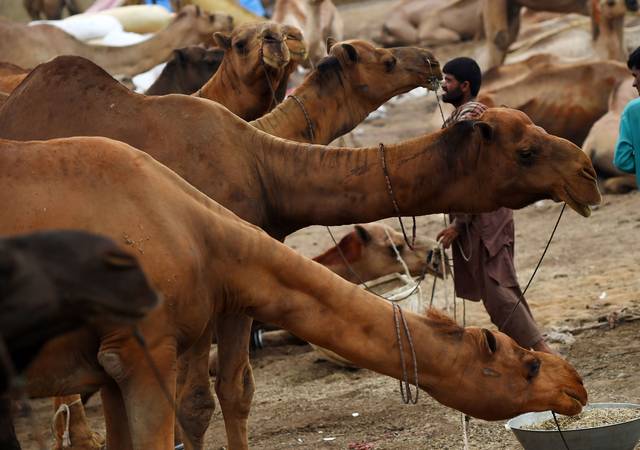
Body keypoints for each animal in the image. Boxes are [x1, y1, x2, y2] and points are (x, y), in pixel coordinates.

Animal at [0, 56, 604, 450]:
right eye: (525, 150)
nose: (587, 172)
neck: (262, 168)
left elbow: (232, 392)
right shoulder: (160, 333)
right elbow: (200, 403)